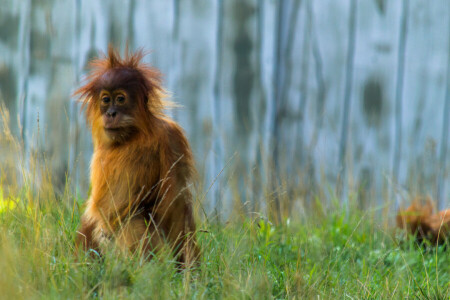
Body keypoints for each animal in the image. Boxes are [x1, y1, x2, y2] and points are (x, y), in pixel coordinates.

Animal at [73, 47, 199, 268]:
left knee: (135, 220)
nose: (111, 113)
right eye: (106, 99)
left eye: (120, 99)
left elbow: (176, 201)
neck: (132, 136)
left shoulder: (171, 137)